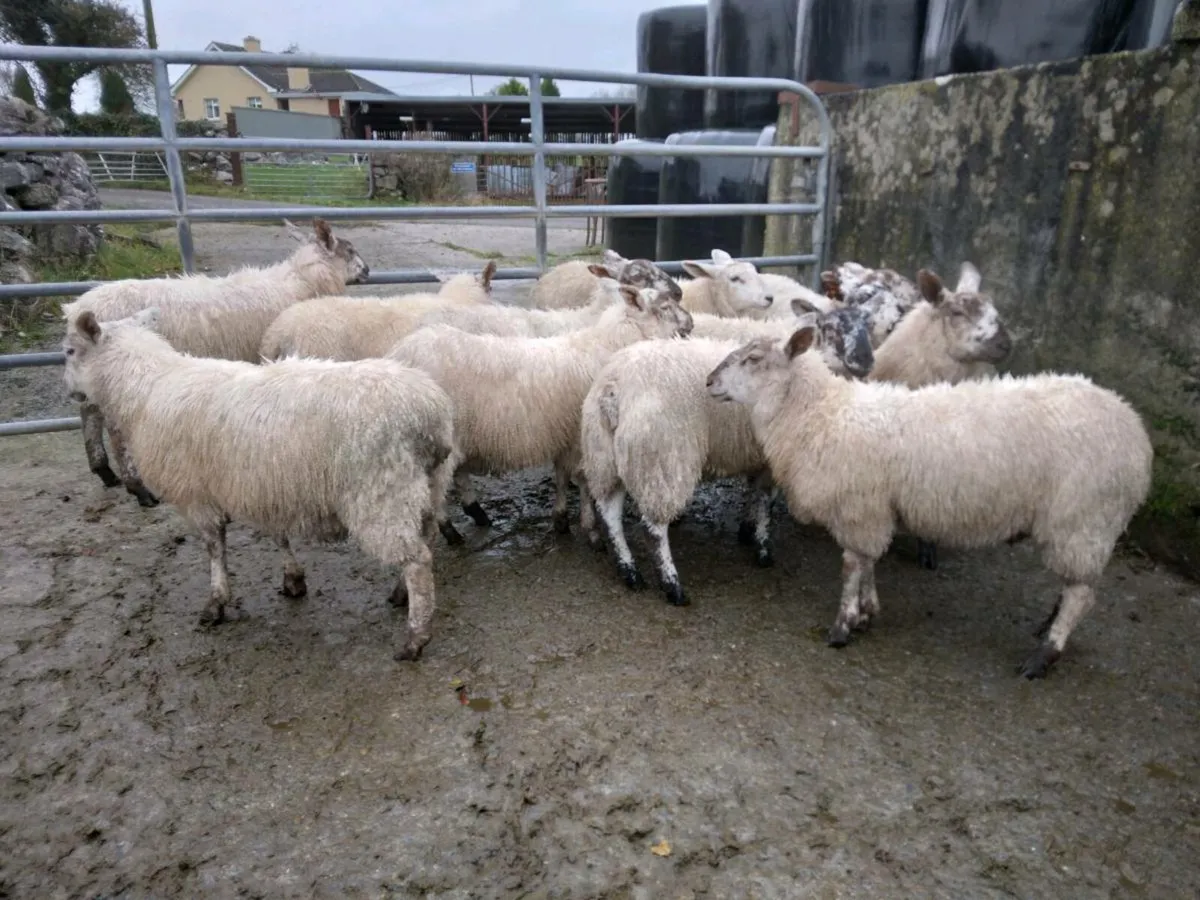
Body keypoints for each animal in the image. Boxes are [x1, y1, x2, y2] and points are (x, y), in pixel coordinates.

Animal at [62, 217, 370, 508]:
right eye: (350, 250)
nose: (367, 271)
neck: (301, 282)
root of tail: (79, 308)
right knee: (114, 430)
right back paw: (137, 488)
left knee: (89, 413)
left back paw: (104, 471)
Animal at [62, 307, 457, 662]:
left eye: (68, 351)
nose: (69, 393)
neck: (145, 389)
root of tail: (428, 414)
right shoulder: (263, 487)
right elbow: (277, 535)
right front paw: (293, 579)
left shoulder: (196, 496)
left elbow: (214, 548)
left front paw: (216, 602)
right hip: (428, 486)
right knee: (426, 538)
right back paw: (402, 595)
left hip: (381, 494)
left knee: (417, 560)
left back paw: (416, 636)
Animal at [388, 284, 694, 542]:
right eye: (664, 307)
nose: (691, 323)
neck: (607, 345)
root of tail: (401, 354)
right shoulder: (580, 437)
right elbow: (583, 482)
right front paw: (588, 525)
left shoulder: (564, 436)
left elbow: (561, 477)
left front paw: (560, 519)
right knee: (437, 488)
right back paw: (450, 531)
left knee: (456, 475)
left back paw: (477, 514)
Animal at [582, 302, 875, 606]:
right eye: (831, 329)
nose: (866, 363)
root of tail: (613, 389)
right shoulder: (771, 459)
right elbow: (765, 502)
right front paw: (762, 548)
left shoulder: (758, 456)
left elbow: (753, 493)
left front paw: (746, 529)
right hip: (661, 459)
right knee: (654, 527)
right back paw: (671, 584)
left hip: (604, 457)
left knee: (610, 512)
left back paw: (628, 570)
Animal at [705, 325, 1153, 679]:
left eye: (754, 359)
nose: (708, 381)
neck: (820, 414)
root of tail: (1135, 429)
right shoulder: (874, 510)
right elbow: (869, 563)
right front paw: (867, 611)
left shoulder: (858, 508)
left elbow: (852, 565)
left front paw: (843, 626)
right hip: (1084, 524)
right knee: (1076, 583)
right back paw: (1047, 625)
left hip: (1084, 515)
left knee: (1081, 594)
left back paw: (1045, 654)